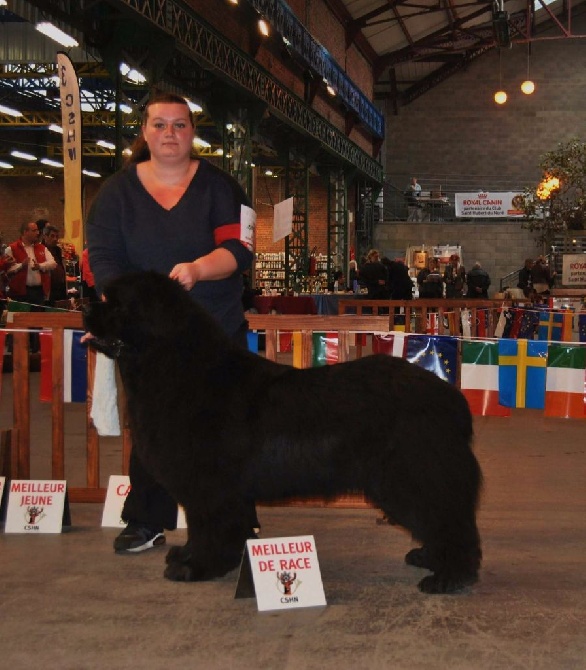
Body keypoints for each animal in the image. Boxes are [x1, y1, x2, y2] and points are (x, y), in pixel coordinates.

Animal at [84, 270, 482, 596]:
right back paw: (430, 557)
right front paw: (190, 556)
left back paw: (449, 577)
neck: (175, 365)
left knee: (449, 521)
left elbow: (209, 528)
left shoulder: (210, 486)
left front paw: (196, 567)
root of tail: (450, 397)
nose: (86, 305)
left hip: (412, 475)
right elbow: (211, 528)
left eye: (114, 303)